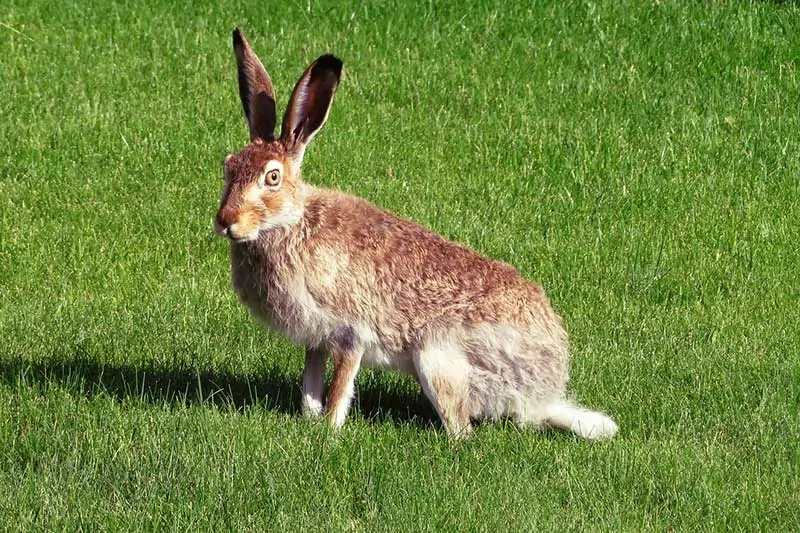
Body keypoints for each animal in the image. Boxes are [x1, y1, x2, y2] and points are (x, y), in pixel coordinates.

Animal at [217, 27, 620, 438]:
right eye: (228, 166)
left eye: (272, 177)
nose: (226, 220)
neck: (290, 223)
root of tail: (543, 394)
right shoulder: (316, 337)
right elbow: (311, 381)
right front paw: (309, 419)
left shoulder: (351, 332)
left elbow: (340, 386)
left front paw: (330, 430)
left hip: (437, 360)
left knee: (460, 429)